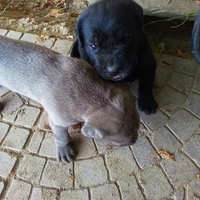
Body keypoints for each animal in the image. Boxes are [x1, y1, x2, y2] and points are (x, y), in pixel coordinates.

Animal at [0, 36, 140, 163]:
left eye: (138, 128)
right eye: (121, 142)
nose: (134, 141)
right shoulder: (58, 120)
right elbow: (61, 136)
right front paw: (64, 149)